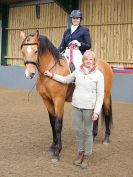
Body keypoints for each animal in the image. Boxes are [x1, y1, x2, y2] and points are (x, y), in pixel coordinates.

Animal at [20, 30, 113, 162]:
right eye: (23, 51)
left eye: (36, 51)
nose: (29, 74)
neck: (50, 71)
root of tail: (106, 64)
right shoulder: (47, 100)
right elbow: (52, 122)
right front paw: (53, 146)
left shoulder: (58, 100)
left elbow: (58, 124)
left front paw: (57, 152)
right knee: (95, 115)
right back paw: (93, 136)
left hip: (105, 96)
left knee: (107, 113)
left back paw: (106, 138)